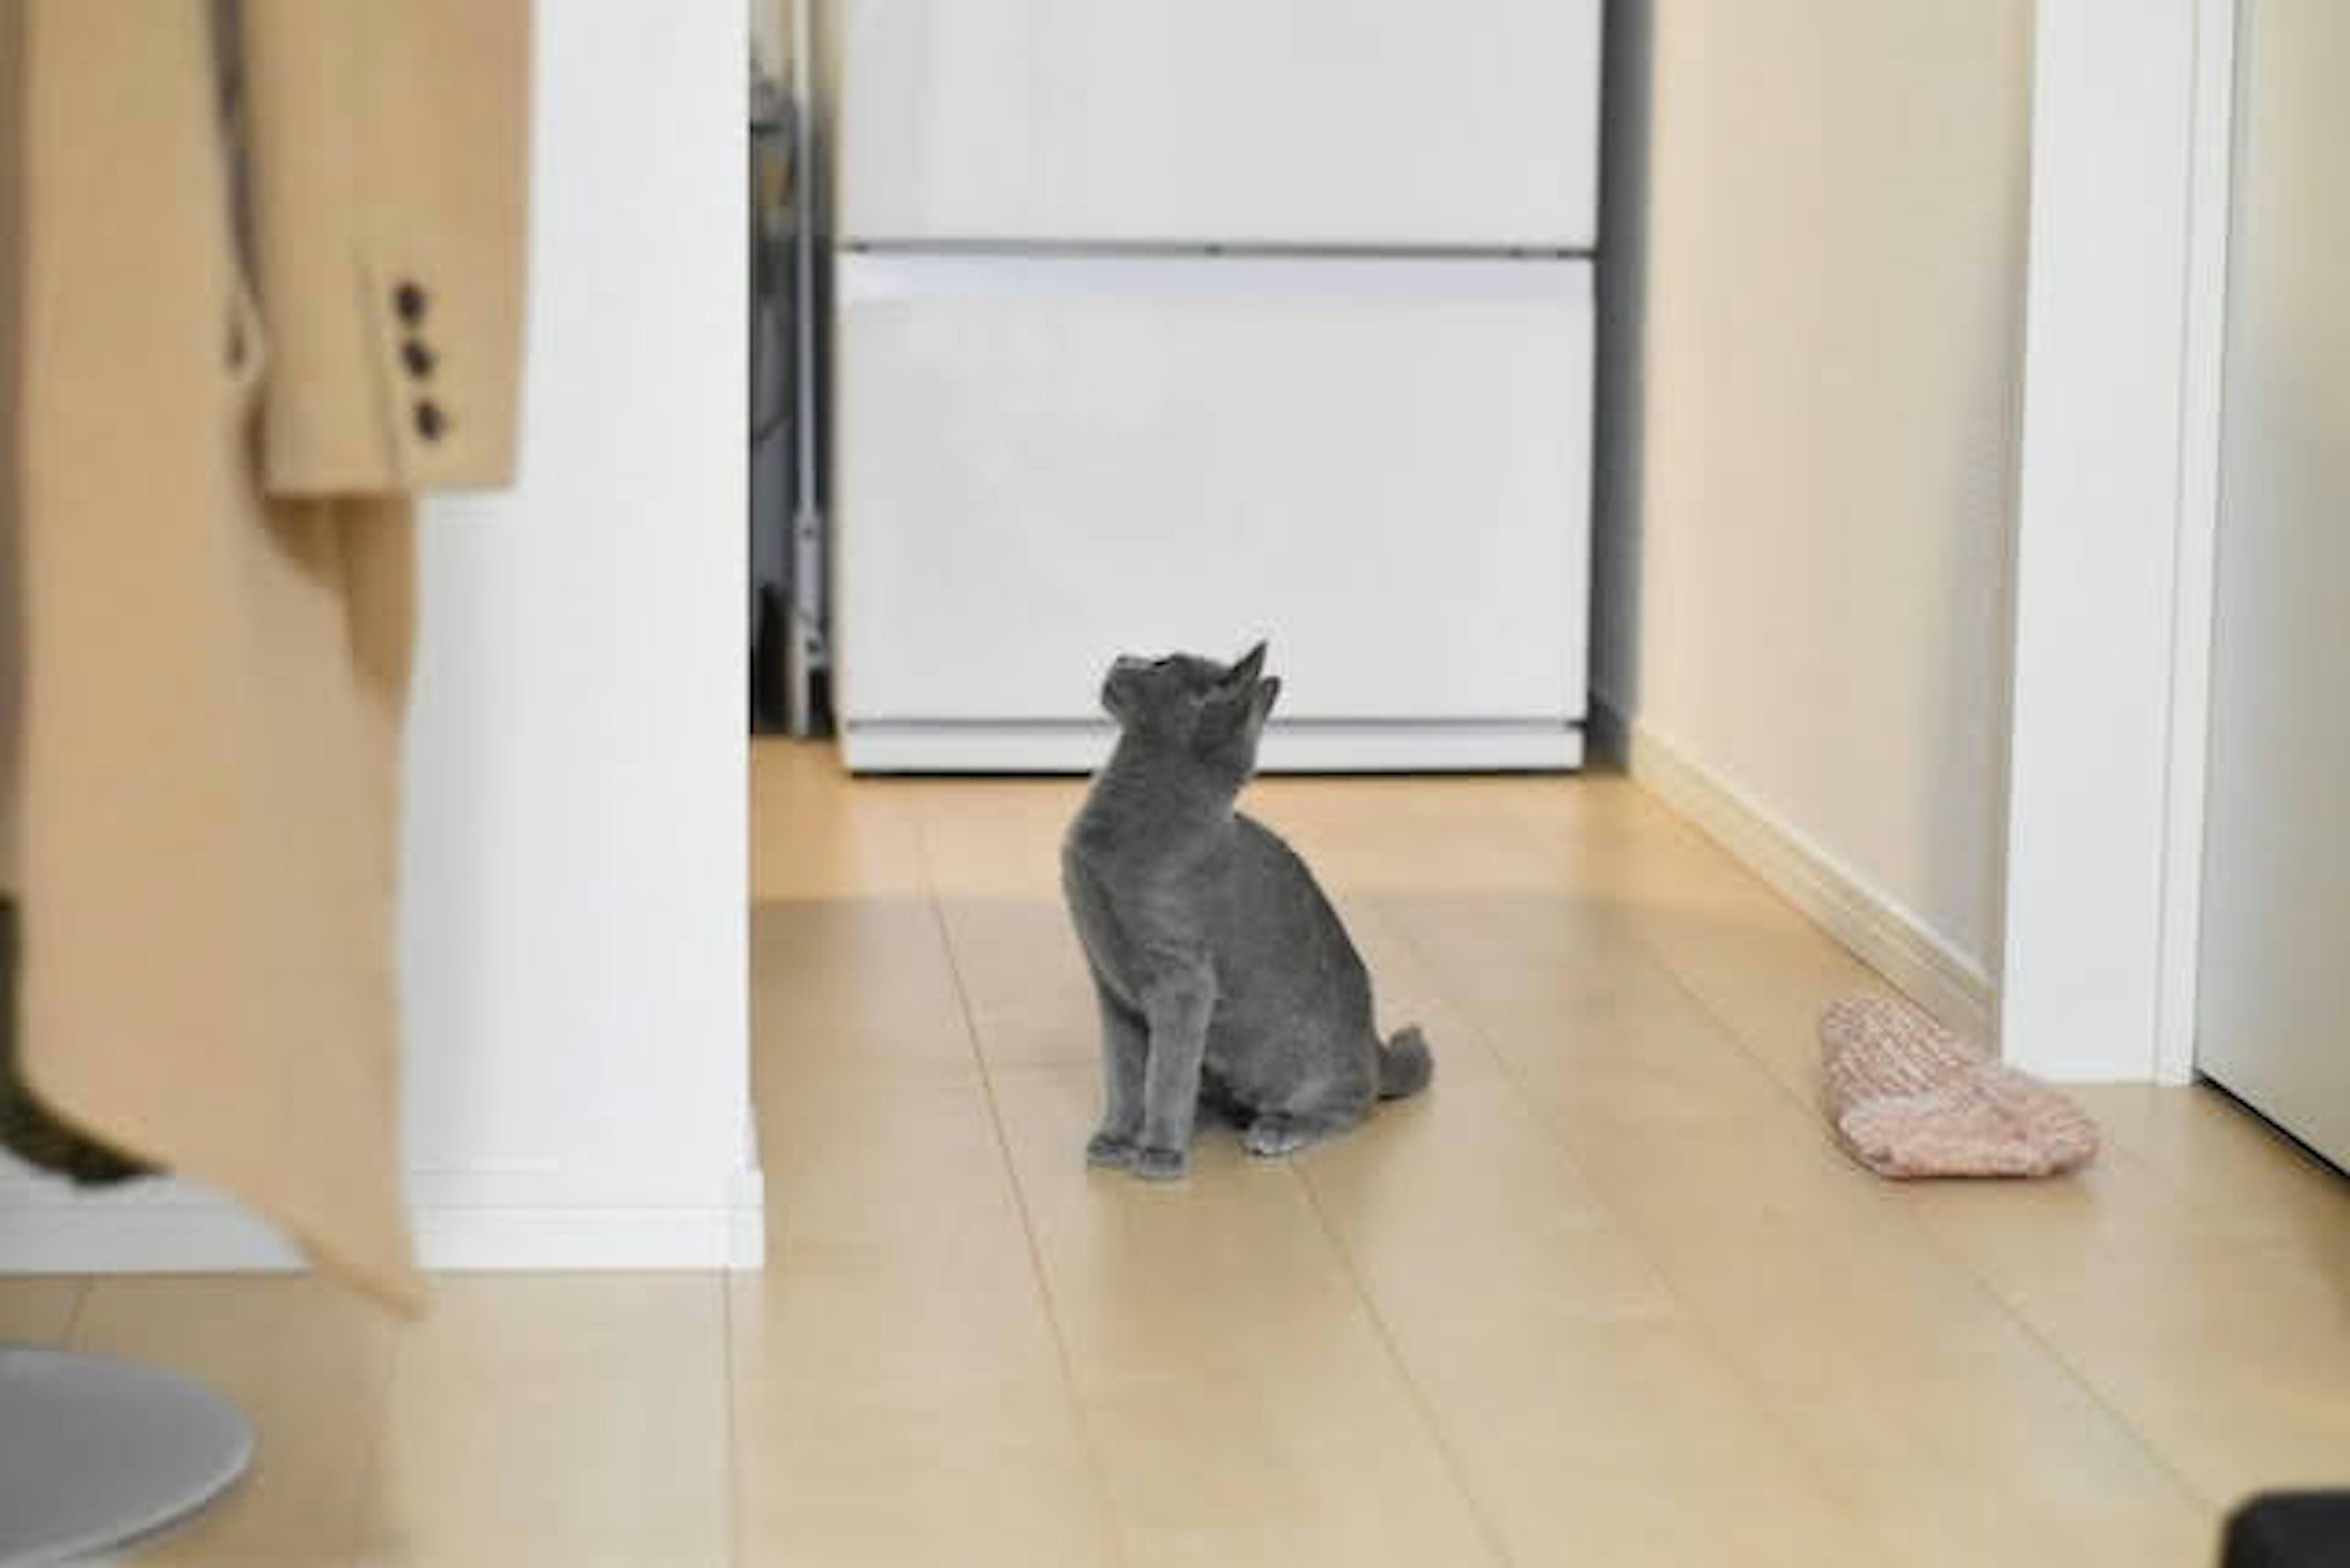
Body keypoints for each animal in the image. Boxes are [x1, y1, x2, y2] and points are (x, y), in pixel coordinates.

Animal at [1067, 639, 1428, 1175]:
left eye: (1162, 664)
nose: (1122, 656)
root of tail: (1375, 1046)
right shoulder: (1113, 989)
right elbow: (1125, 1075)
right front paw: (1115, 1138)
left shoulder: (1184, 984)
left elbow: (1165, 1075)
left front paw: (1159, 1153)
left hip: (1315, 1069)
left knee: (1353, 1106)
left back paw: (1277, 1128)